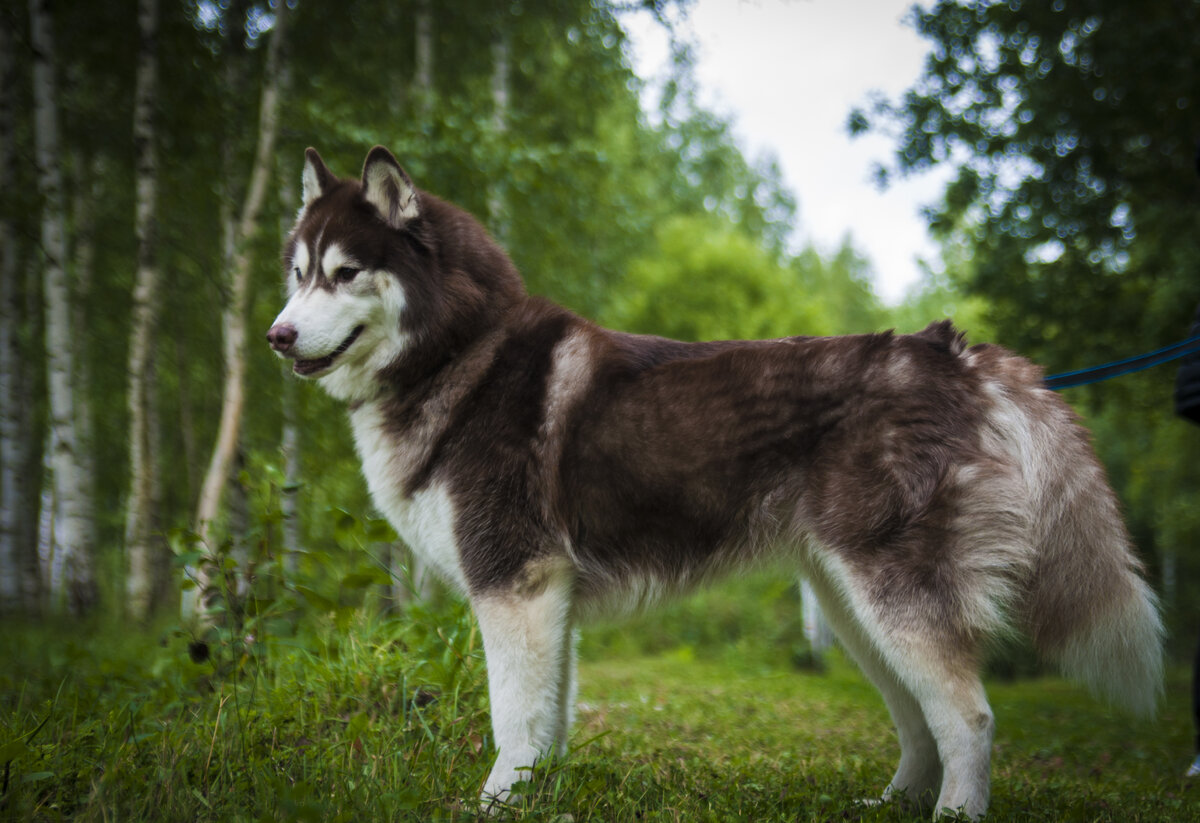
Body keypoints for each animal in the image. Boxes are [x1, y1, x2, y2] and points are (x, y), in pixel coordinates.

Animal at [267, 146, 1156, 820]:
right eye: (298, 272)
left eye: (345, 273)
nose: (275, 334)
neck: (460, 351)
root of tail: (951, 350)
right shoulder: (548, 598)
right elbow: (548, 721)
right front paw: (538, 799)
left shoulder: (514, 583)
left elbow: (513, 718)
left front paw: (494, 804)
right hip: (851, 605)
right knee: (918, 721)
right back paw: (893, 804)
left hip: (890, 596)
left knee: (968, 717)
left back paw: (953, 813)